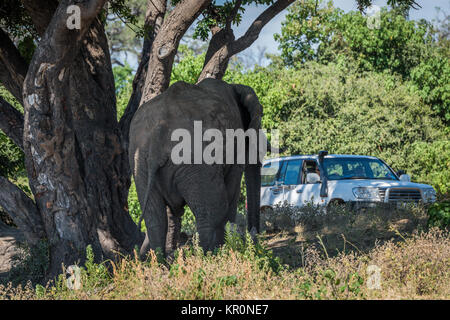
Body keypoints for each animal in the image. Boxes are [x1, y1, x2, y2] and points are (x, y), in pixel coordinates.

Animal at [128, 78, 266, 258]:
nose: (255, 234)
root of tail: (158, 134)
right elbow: (232, 190)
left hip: (140, 163)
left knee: (155, 219)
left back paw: (160, 262)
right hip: (195, 161)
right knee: (212, 212)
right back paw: (211, 257)